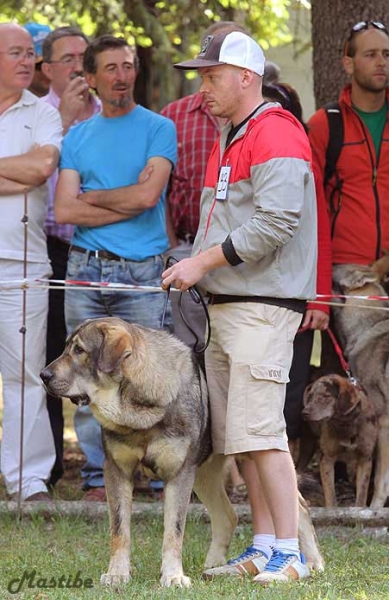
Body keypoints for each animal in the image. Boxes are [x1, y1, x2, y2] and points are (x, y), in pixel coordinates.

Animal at [304, 376, 376, 506]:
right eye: (310, 397)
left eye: (325, 396)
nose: (304, 413)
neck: (346, 425)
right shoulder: (327, 460)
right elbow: (331, 497)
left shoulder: (365, 460)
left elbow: (361, 497)